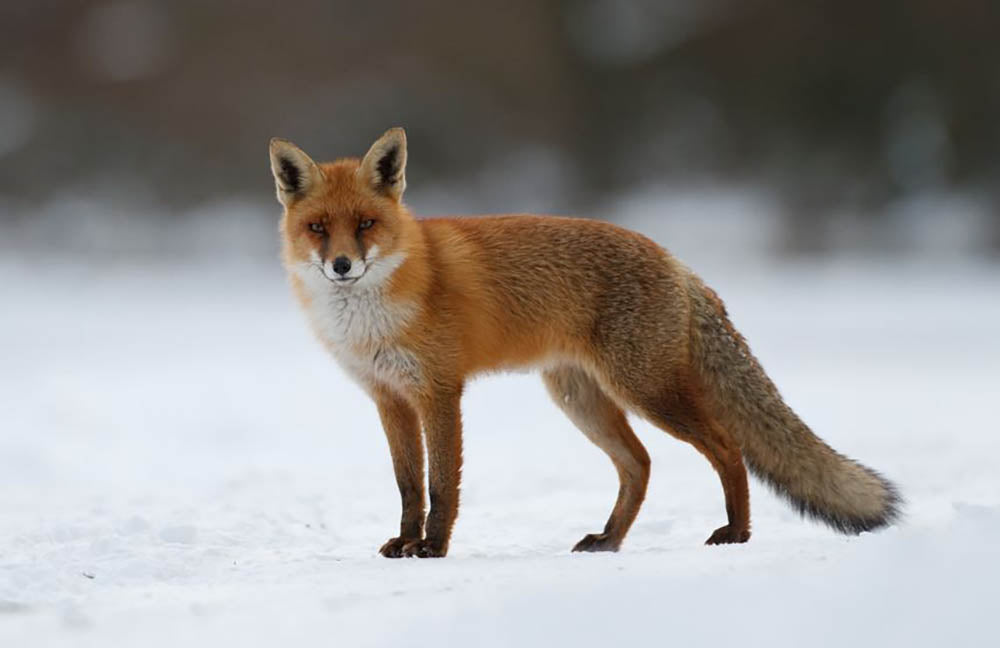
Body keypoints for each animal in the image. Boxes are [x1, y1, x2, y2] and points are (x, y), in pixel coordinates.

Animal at [268, 127, 901, 558]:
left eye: (366, 225)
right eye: (318, 228)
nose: (343, 265)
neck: (371, 316)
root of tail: (675, 260)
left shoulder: (440, 392)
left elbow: (443, 485)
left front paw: (433, 549)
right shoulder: (389, 398)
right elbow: (408, 486)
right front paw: (405, 544)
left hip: (646, 390)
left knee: (726, 448)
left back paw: (737, 533)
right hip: (581, 399)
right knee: (640, 464)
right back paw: (610, 539)